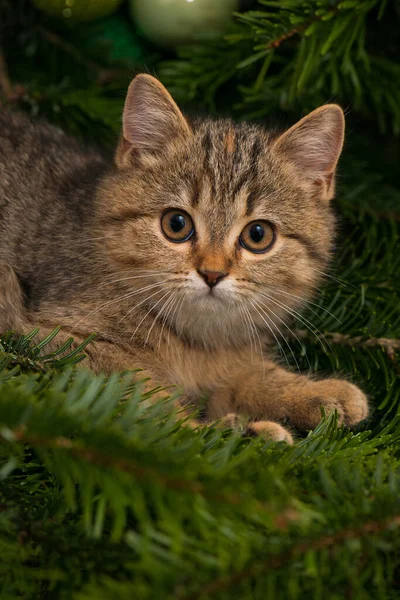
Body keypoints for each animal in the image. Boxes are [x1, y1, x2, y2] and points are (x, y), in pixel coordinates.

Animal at [0, 74, 368, 440]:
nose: (212, 273)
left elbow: (246, 377)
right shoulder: (56, 336)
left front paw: (310, 391)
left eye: (258, 235)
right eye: (176, 224)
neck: (193, 342)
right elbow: (147, 400)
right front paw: (225, 434)